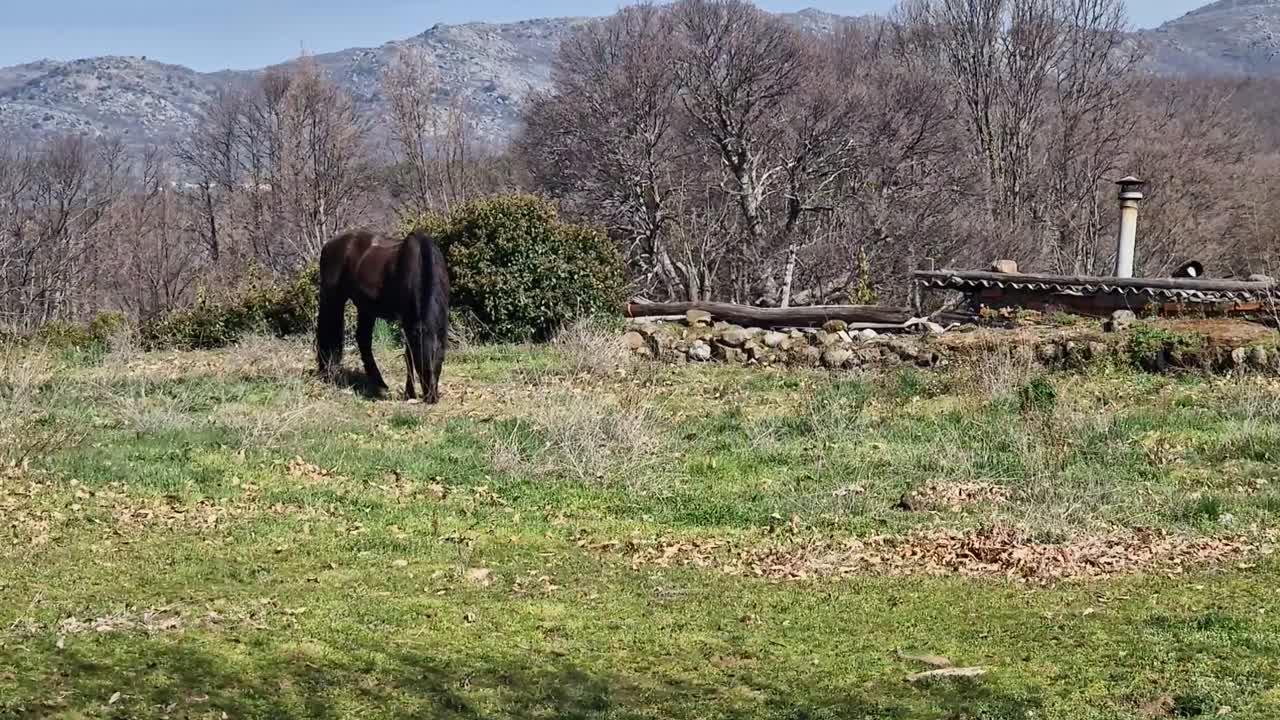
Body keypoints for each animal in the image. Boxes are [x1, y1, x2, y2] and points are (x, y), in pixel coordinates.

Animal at [315, 228, 450, 403]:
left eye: (439, 359)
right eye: (420, 361)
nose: (431, 397)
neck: (420, 263)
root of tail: (329, 245)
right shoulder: (407, 321)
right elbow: (408, 356)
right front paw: (409, 393)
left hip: (365, 308)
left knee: (363, 339)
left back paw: (378, 381)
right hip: (332, 298)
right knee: (327, 330)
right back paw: (327, 372)